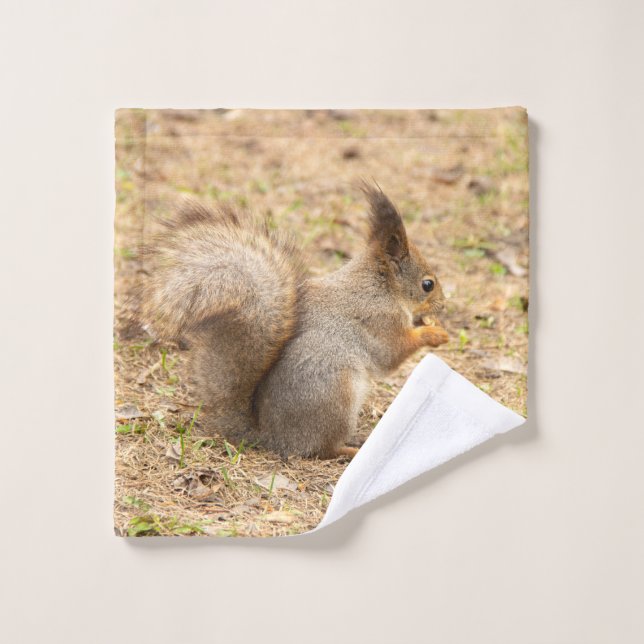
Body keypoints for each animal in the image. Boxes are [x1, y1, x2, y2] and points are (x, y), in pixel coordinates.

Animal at [142, 183, 449, 459]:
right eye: (427, 284)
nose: (443, 305)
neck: (381, 286)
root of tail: (272, 437)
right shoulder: (379, 320)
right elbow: (391, 354)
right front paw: (434, 334)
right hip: (336, 396)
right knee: (322, 448)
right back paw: (348, 449)